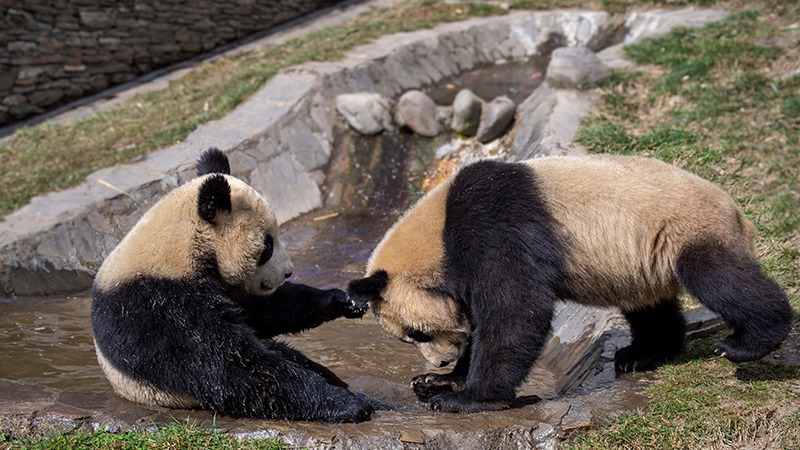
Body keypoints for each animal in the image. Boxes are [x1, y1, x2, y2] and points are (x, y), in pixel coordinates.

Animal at [91, 148, 376, 422]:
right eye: (267, 246)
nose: (288, 272)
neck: (176, 247)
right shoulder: (160, 306)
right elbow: (229, 365)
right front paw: (348, 405)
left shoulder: (224, 285)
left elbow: (263, 311)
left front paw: (341, 301)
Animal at [348, 153, 792, 414]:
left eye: (417, 333)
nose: (438, 361)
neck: (437, 234)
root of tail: (737, 212)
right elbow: (482, 319)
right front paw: (437, 382)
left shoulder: (494, 226)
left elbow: (517, 309)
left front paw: (465, 398)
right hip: (643, 261)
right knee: (650, 307)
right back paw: (642, 354)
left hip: (685, 227)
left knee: (720, 277)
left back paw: (748, 343)